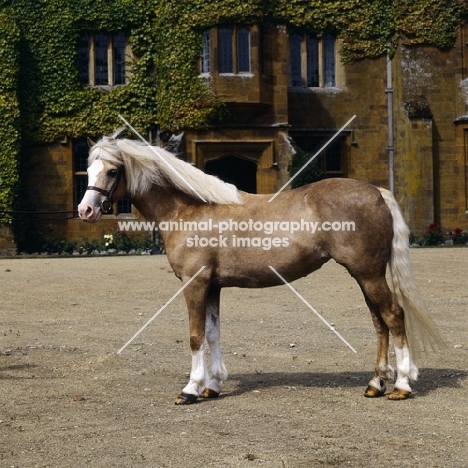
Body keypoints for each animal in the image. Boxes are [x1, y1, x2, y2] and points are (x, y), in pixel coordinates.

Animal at [78, 133, 444, 404]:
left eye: (112, 171)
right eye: (89, 169)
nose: (85, 211)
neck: (188, 209)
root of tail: (378, 192)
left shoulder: (195, 284)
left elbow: (196, 335)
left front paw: (191, 389)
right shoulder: (213, 286)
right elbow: (213, 333)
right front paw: (213, 386)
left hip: (368, 274)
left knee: (394, 316)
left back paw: (402, 385)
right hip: (364, 275)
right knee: (379, 323)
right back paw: (375, 383)